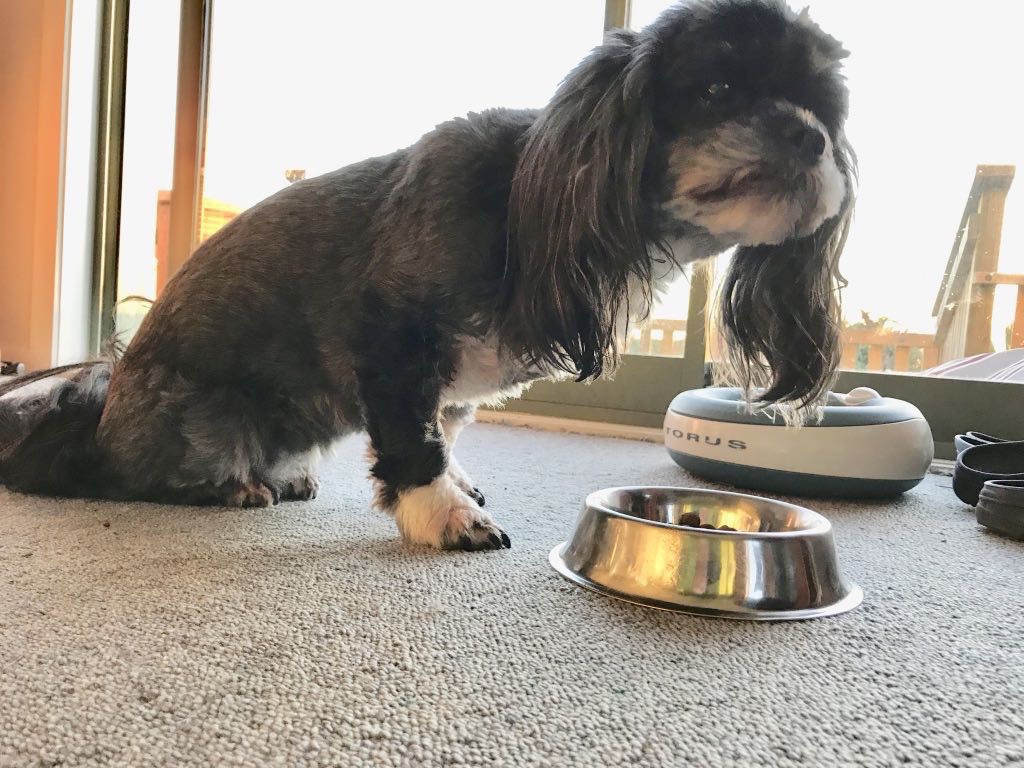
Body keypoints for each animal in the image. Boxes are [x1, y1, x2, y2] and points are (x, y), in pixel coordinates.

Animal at [0, 0, 856, 552]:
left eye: (825, 109)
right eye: (717, 88)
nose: (807, 137)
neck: (527, 206)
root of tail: (103, 404)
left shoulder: (450, 384)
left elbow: (445, 427)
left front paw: (459, 483)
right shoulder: (392, 335)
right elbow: (415, 440)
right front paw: (443, 514)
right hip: (201, 421)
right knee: (131, 478)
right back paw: (229, 485)